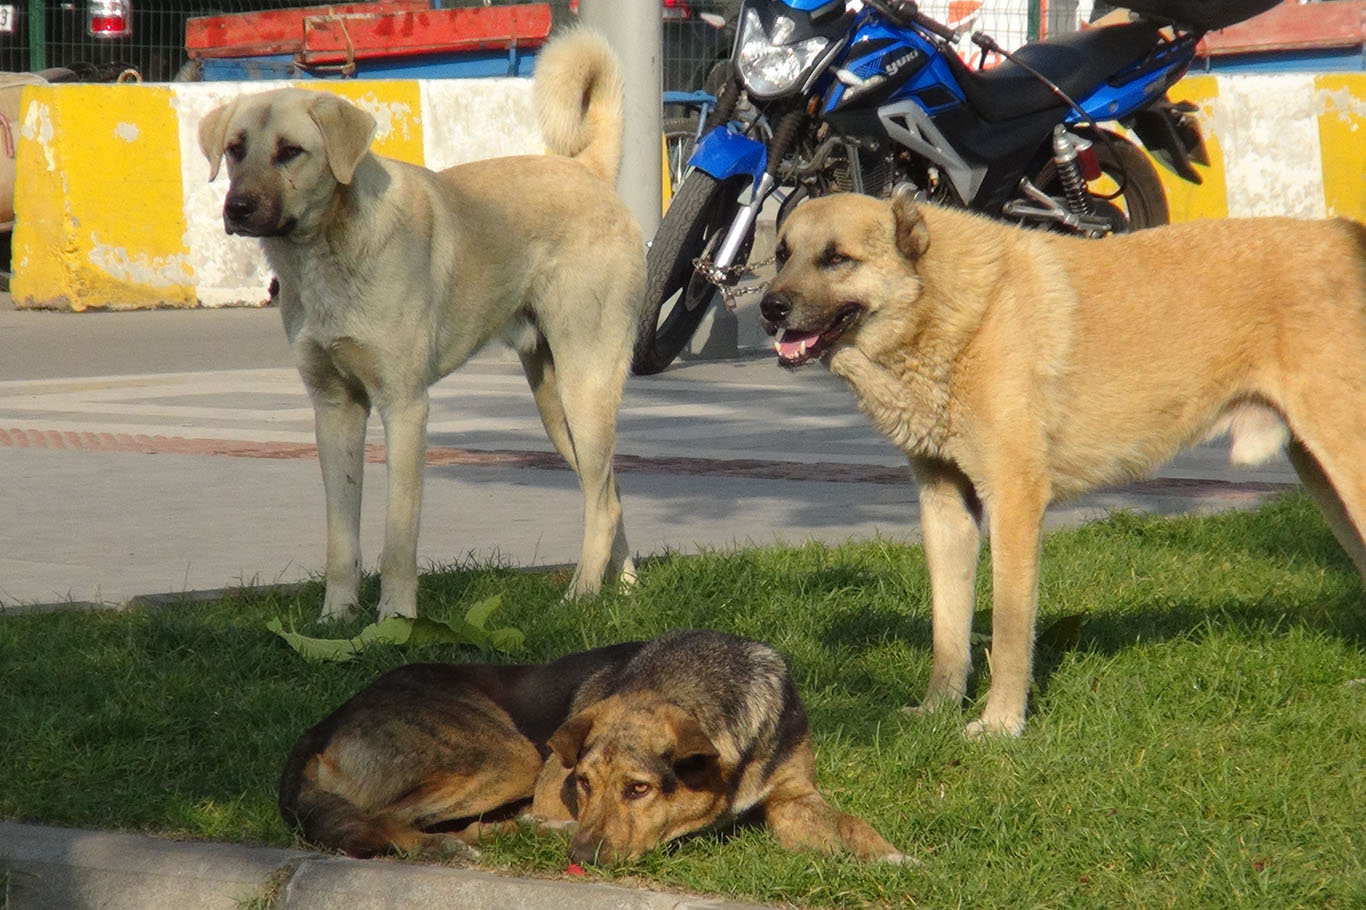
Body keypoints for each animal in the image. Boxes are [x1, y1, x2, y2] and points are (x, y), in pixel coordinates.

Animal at [198, 30, 644, 623]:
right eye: (234, 148)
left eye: (291, 151)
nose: (238, 208)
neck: (327, 252)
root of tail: (589, 170)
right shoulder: (335, 410)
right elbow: (341, 537)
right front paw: (335, 618)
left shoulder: (405, 407)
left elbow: (397, 536)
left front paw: (396, 619)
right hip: (557, 405)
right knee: (609, 495)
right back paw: (625, 591)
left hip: (585, 386)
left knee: (602, 502)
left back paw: (580, 598)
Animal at [274, 628, 907, 863]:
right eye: (581, 783)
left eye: (639, 789)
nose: (584, 858)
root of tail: (324, 723)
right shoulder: (554, 782)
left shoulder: (794, 797)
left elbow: (852, 824)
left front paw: (893, 858)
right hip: (512, 758)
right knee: (383, 820)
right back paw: (449, 848)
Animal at [759, 187, 1366, 732]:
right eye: (783, 253)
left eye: (836, 258)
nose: (769, 308)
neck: (951, 309)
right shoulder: (946, 506)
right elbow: (948, 629)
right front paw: (937, 712)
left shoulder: (1015, 502)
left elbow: (1008, 632)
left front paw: (1001, 725)